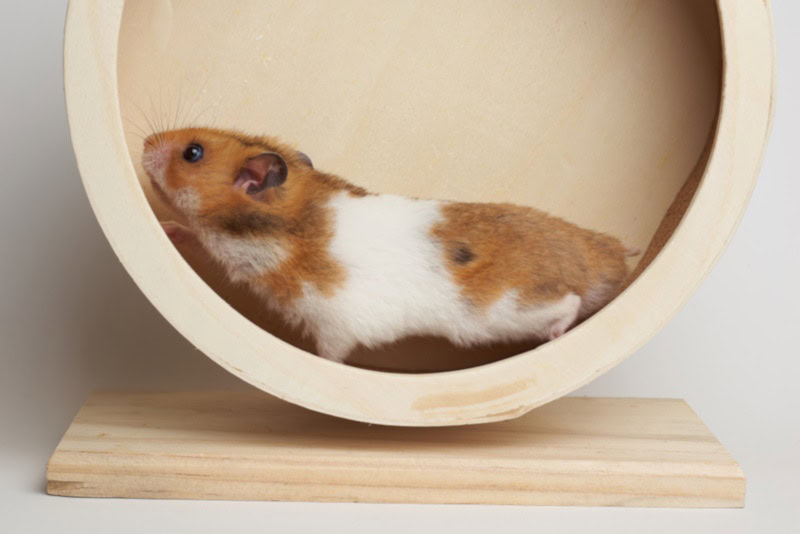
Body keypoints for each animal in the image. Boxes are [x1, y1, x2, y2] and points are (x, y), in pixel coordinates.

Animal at [142, 127, 638, 363]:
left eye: (192, 153)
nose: (144, 142)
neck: (289, 227)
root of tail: (607, 254)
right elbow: (193, 234)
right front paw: (166, 228)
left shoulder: (335, 323)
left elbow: (330, 354)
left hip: (509, 310)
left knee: (568, 304)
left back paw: (556, 336)